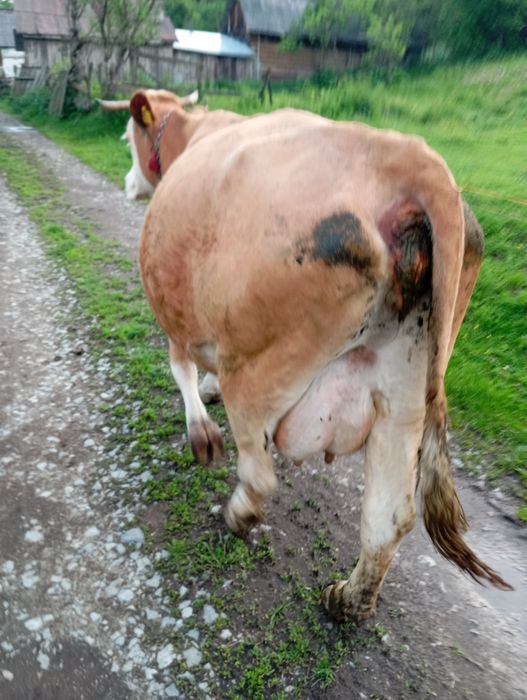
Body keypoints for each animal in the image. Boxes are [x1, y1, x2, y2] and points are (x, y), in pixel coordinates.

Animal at [135, 103, 510, 622]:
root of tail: (409, 156)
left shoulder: (178, 315)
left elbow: (181, 368)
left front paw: (202, 434)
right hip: (406, 390)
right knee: (391, 516)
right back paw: (347, 600)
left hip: (257, 370)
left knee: (259, 469)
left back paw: (237, 513)